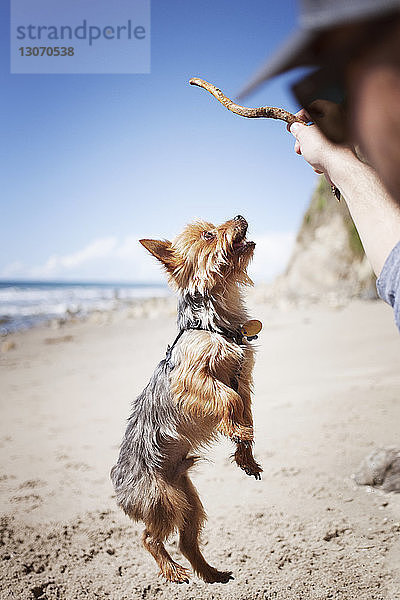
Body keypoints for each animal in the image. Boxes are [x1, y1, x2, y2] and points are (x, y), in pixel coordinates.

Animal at [111, 217, 264, 584]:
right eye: (209, 235)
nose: (241, 215)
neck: (214, 322)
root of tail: (119, 488)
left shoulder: (243, 377)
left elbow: (245, 408)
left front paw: (246, 454)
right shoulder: (191, 380)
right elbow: (229, 400)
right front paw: (237, 431)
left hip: (188, 498)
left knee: (187, 540)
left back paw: (211, 573)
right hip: (163, 501)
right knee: (149, 538)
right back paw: (173, 571)